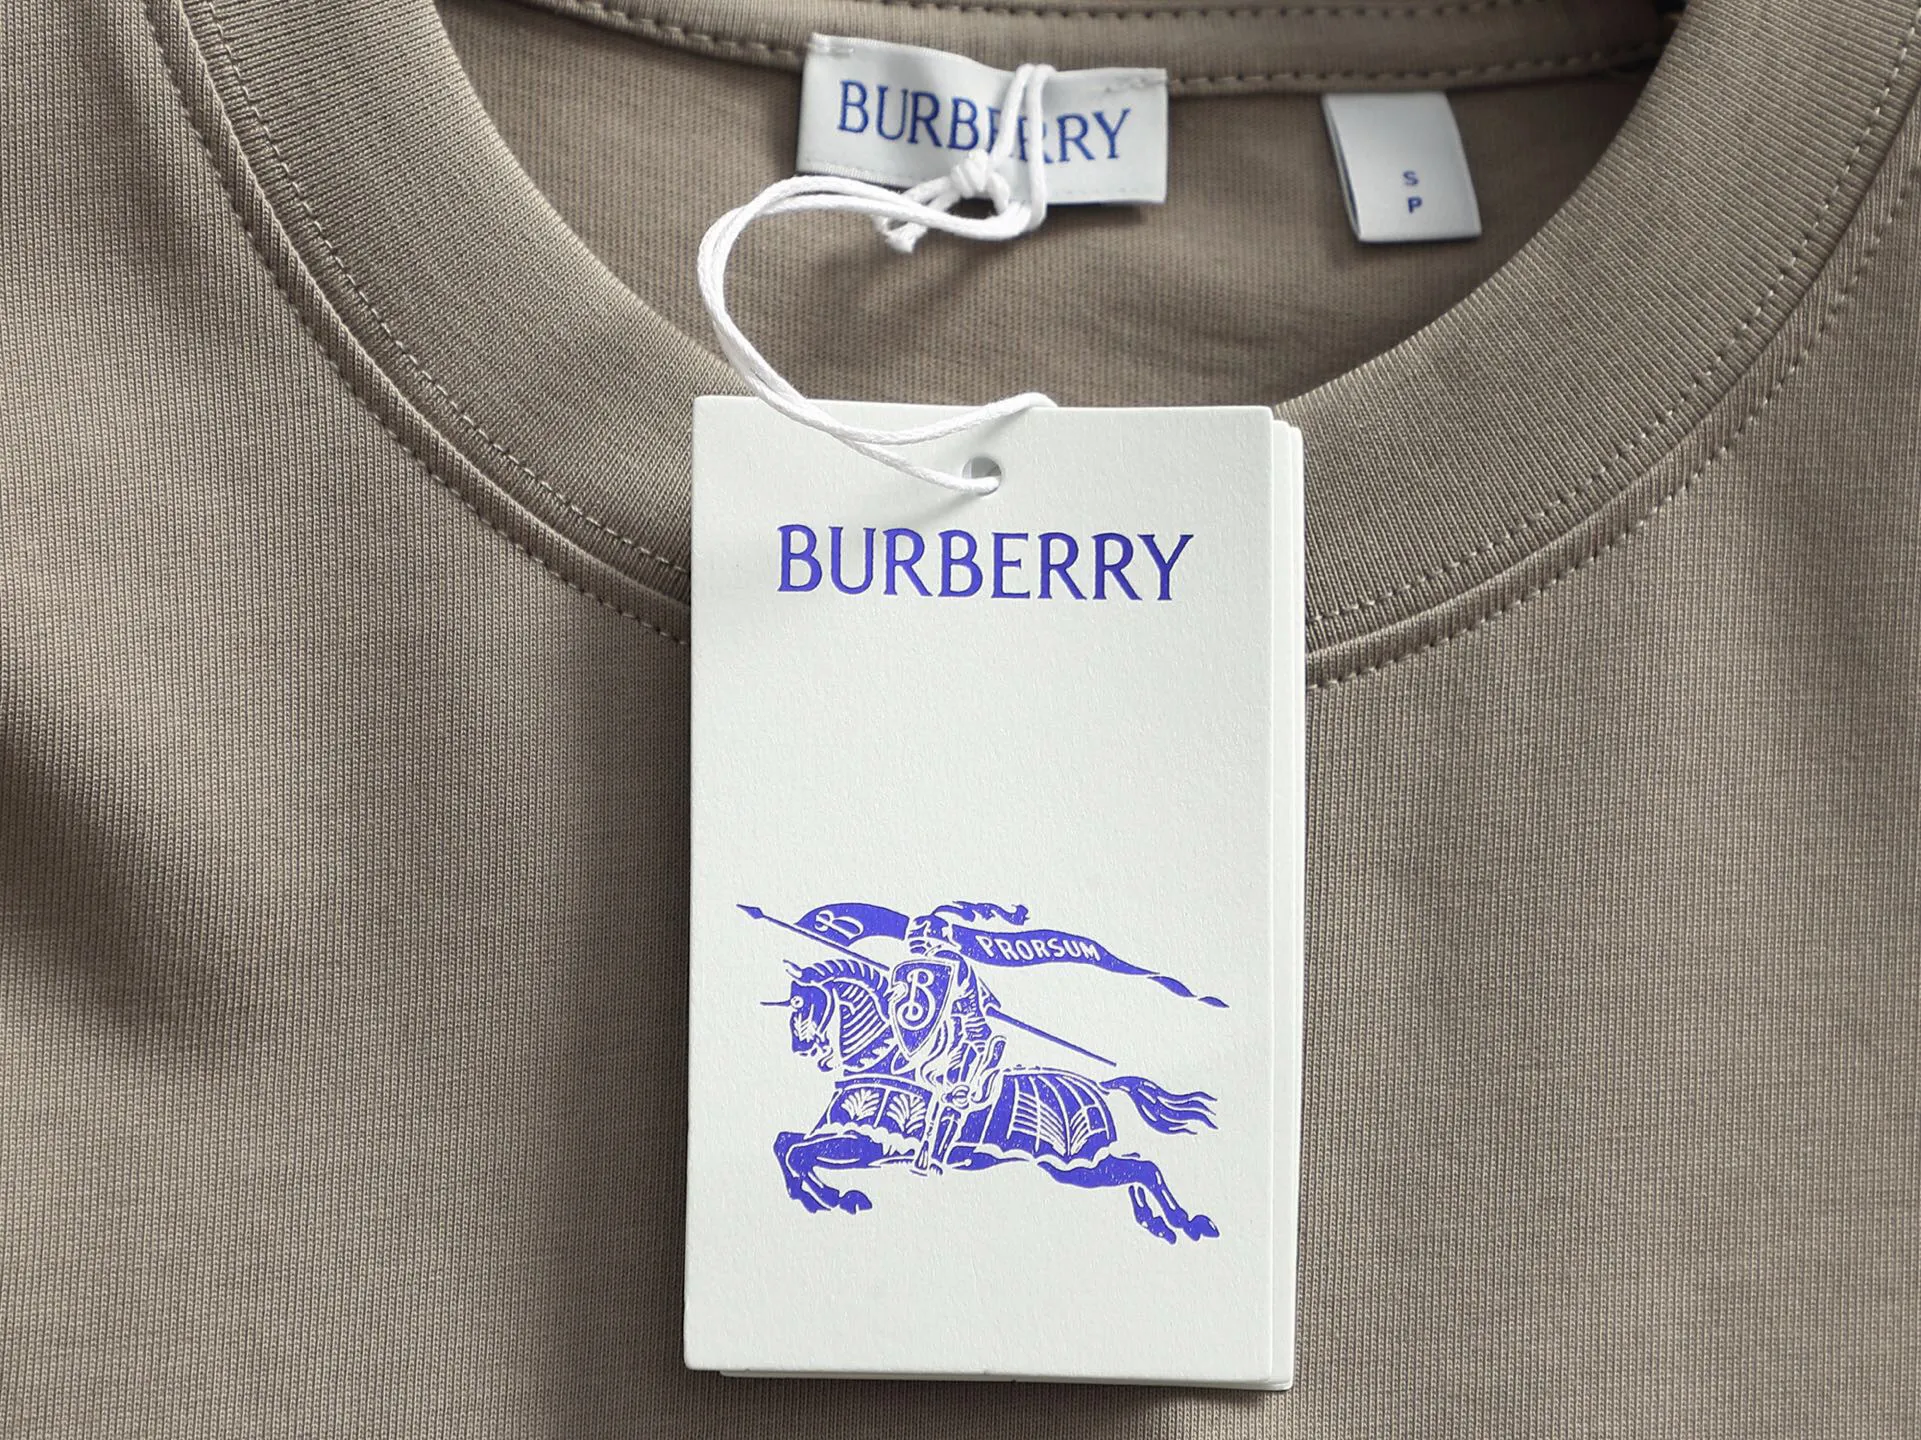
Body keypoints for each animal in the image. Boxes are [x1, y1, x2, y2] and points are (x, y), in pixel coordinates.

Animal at [768, 956, 1220, 1244]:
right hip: (1086, 1165)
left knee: (1143, 1170)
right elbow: (786, 1144)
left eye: (801, 1003)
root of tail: (1103, 1085)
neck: (884, 1061)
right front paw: (815, 1197)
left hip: (1075, 1165)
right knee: (1135, 1170)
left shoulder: (869, 1143)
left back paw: (1184, 1222)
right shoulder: (844, 1136)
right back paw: (1158, 1223)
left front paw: (834, 1198)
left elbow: (797, 1154)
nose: (799, 1046)